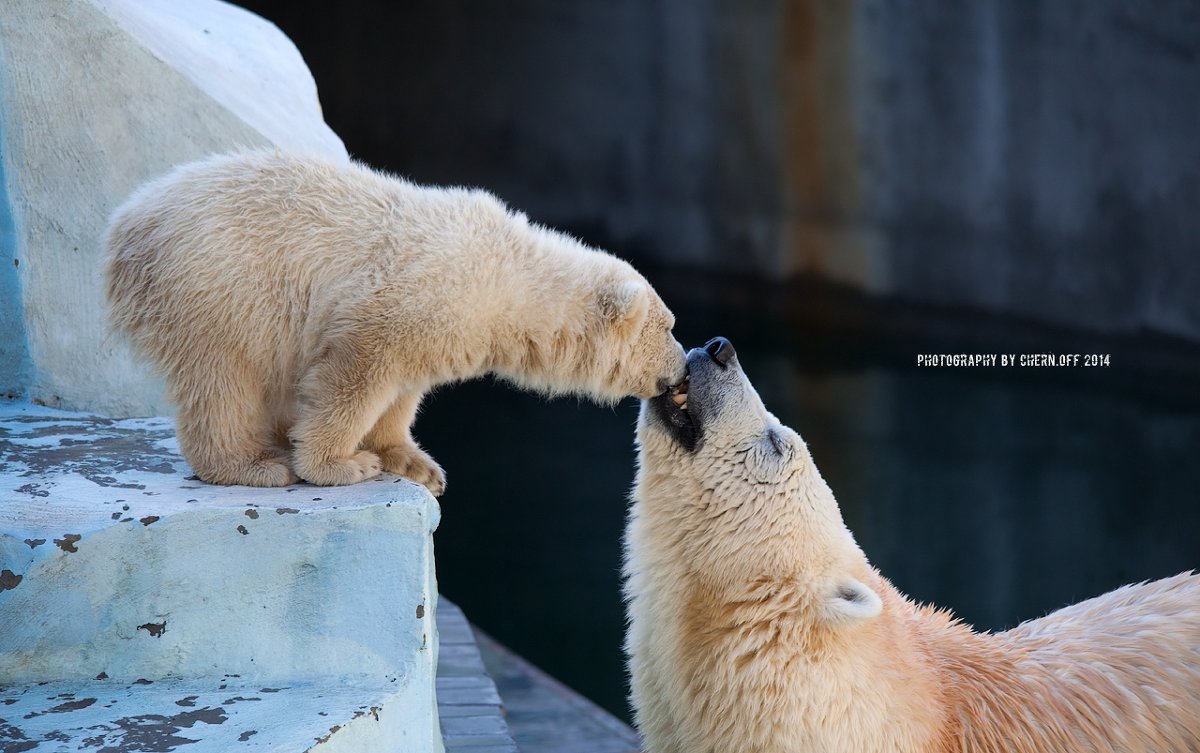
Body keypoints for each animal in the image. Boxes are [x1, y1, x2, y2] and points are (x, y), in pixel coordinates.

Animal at [105, 152, 686, 491]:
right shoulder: (398, 304)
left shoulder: (438, 332)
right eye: (670, 326)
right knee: (225, 379)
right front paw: (339, 465)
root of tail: (128, 226)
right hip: (220, 286)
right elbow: (355, 377)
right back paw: (255, 466)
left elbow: (404, 390)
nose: (682, 368)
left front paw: (415, 464)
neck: (506, 278)